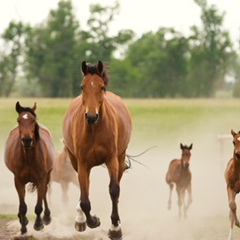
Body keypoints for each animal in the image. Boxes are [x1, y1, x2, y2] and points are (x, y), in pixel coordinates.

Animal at [4, 101, 55, 234]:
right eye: (18, 120)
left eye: (33, 120)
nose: (27, 140)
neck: (28, 157)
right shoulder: (18, 180)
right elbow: (23, 206)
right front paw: (23, 227)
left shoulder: (41, 179)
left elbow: (38, 206)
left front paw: (38, 224)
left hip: (47, 176)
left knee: (44, 194)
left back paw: (46, 217)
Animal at [62, 60, 132, 240]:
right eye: (82, 87)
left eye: (101, 87)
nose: (91, 116)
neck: (94, 129)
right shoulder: (82, 164)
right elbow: (85, 200)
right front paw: (92, 221)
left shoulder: (112, 159)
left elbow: (114, 190)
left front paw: (115, 228)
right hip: (76, 162)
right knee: (84, 189)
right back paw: (80, 219)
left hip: (120, 158)